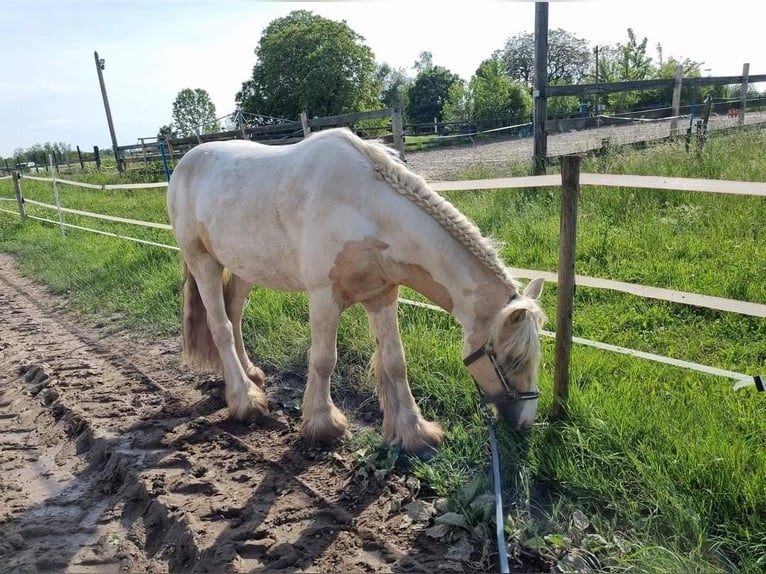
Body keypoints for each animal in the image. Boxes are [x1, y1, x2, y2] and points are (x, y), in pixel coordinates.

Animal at [167, 129, 544, 460]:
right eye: (512, 359)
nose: (526, 423)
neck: (364, 209)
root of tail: (185, 162)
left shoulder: (382, 296)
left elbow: (395, 362)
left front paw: (414, 432)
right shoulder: (324, 297)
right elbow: (323, 359)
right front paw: (323, 425)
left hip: (245, 268)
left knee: (234, 315)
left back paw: (251, 375)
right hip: (203, 262)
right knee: (221, 327)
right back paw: (246, 400)